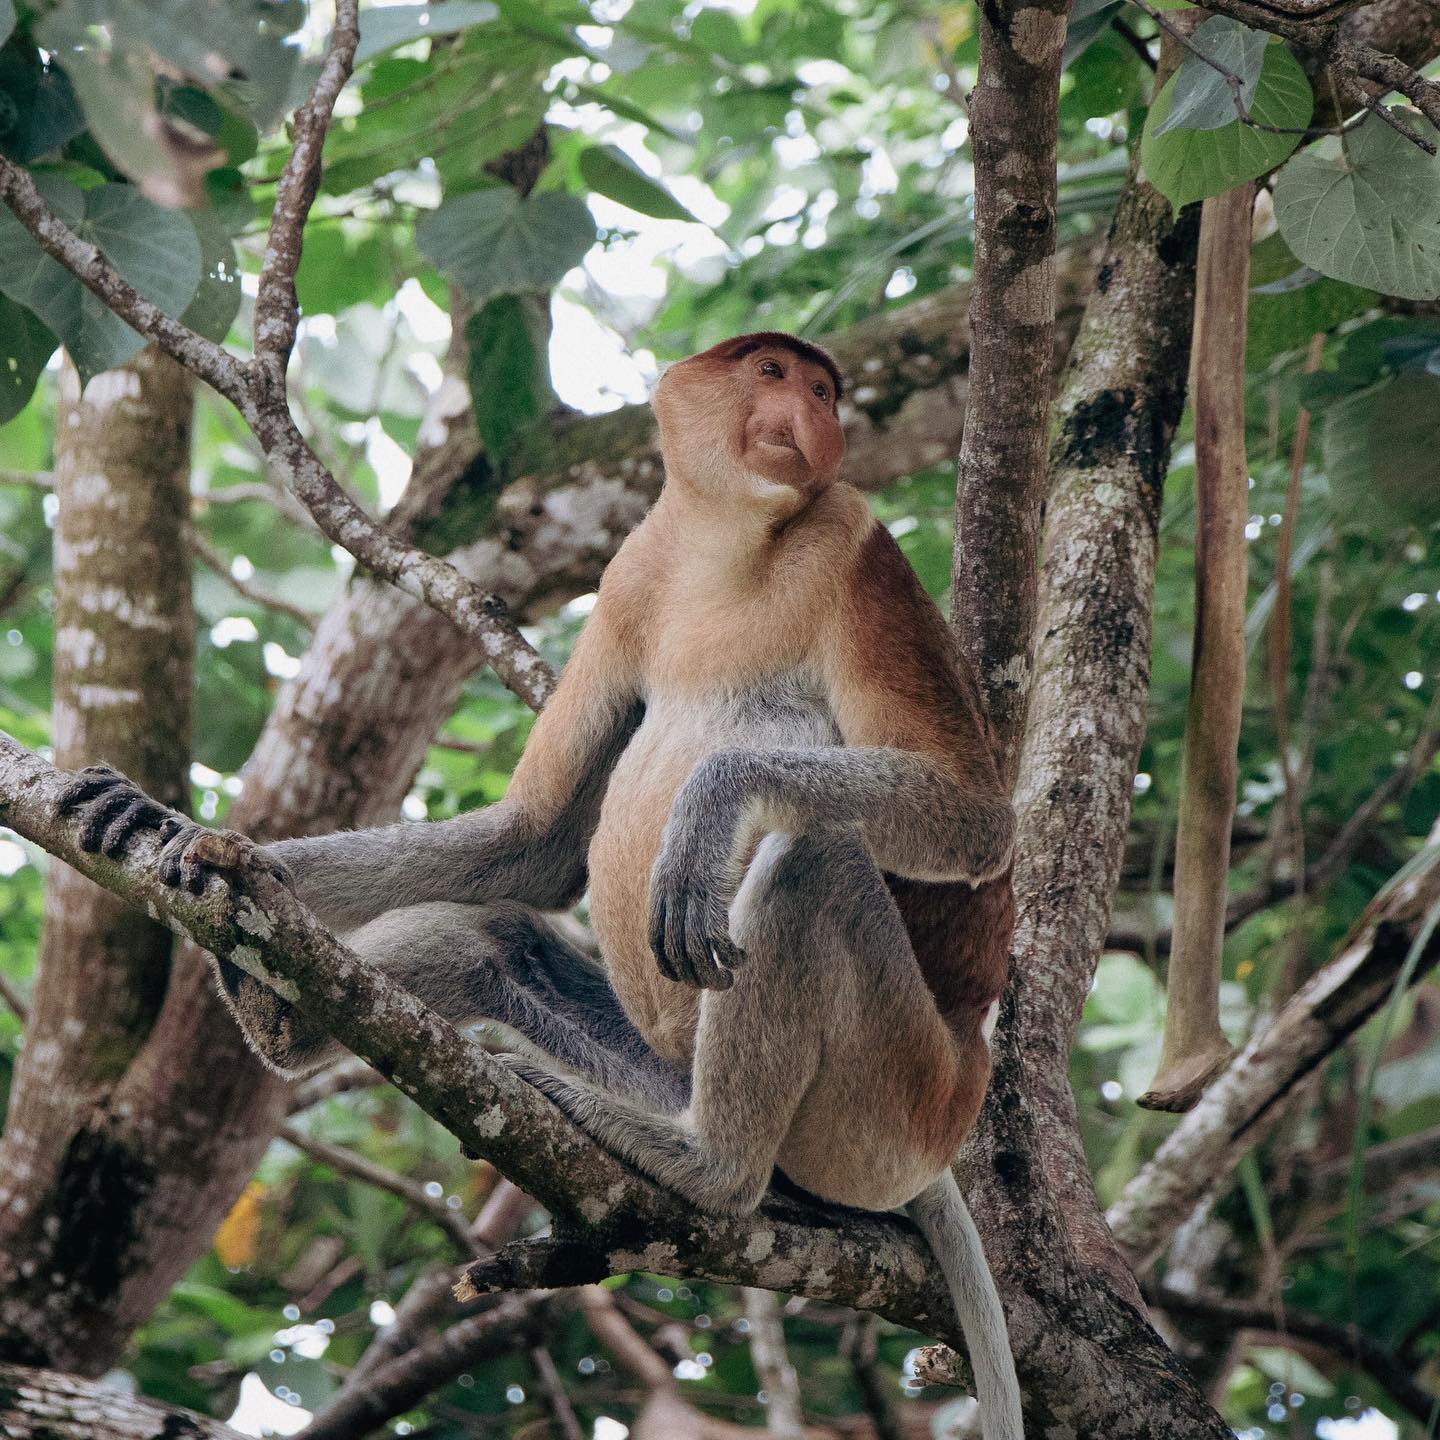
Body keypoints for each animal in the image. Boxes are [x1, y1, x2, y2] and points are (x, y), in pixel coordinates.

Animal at [56, 329, 1025, 1440]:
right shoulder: (633, 577)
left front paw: (709, 804)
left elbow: (976, 817)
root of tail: (949, 1125)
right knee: (490, 941)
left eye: (824, 387)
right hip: (688, 1073)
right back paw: (279, 1011)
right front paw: (195, 837)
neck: (733, 542)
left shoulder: (855, 547)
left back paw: (706, 1166)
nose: (818, 416)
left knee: (813, 860)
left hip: (891, 1104)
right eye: (776, 375)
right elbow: (537, 845)